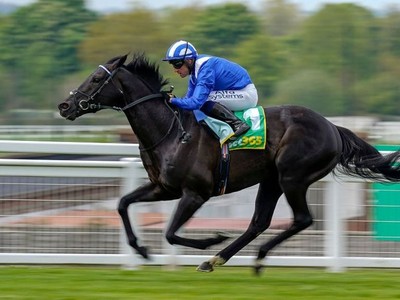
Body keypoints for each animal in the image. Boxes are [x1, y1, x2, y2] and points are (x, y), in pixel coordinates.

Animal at [57, 52, 400, 274]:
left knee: (301, 219)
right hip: (271, 179)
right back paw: (219, 259)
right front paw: (141, 249)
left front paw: (212, 238)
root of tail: (332, 127)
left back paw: (252, 257)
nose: (65, 106)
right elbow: (123, 204)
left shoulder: (195, 193)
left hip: (293, 177)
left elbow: (170, 233)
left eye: (97, 78)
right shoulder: (163, 188)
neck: (171, 132)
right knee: (259, 222)